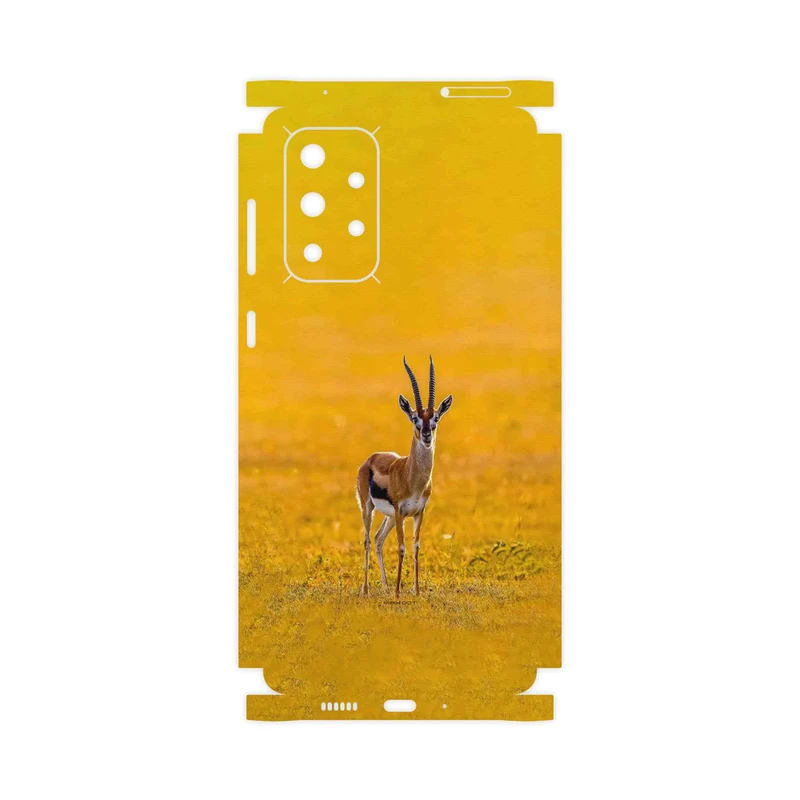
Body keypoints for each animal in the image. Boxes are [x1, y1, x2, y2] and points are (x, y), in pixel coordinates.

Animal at [356, 356, 453, 597]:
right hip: (369, 508)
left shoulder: (418, 512)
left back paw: (385, 587)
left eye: (435, 419)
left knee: (378, 539)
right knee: (367, 540)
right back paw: (366, 589)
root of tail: (371, 458)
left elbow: (415, 546)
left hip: (390, 517)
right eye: (415, 419)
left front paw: (416, 591)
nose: (426, 434)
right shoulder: (401, 512)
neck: (413, 480)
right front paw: (400, 592)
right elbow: (401, 547)